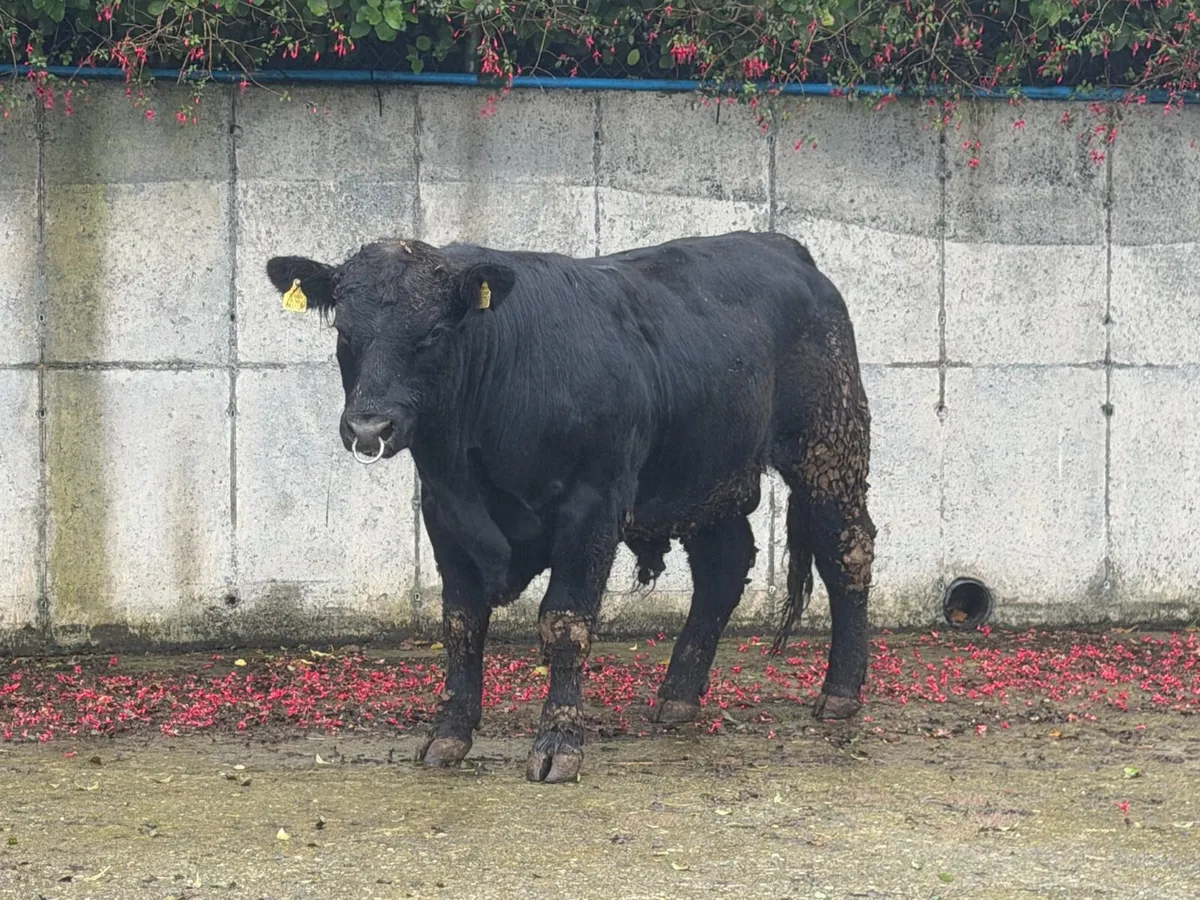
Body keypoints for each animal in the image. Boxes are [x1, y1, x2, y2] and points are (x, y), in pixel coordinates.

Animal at [267, 231, 876, 783]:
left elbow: (564, 622)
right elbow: (461, 624)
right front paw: (448, 735)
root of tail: (782, 247)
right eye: (345, 331)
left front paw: (558, 743)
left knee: (849, 550)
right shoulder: (444, 513)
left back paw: (841, 692)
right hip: (705, 474)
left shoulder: (592, 508)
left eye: (434, 332)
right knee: (722, 568)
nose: (369, 428)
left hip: (829, 448)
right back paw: (677, 698)